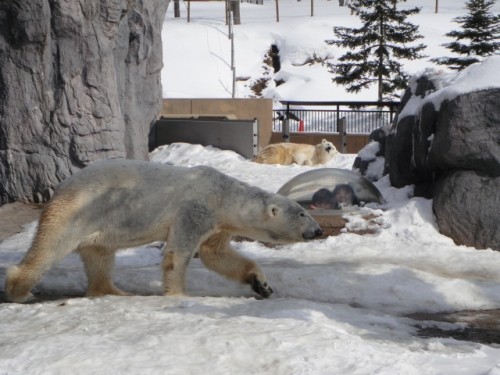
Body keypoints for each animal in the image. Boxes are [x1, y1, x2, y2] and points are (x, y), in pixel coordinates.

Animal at [3, 160, 322, 304]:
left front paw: (262, 285)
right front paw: (180, 294)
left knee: (99, 255)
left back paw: (115, 291)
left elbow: (217, 255)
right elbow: (178, 254)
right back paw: (21, 292)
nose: (318, 230)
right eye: (302, 213)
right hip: (78, 211)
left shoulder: (216, 223)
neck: (222, 196)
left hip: (99, 223)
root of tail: (61, 187)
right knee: (50, 246)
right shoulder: (193, 210)